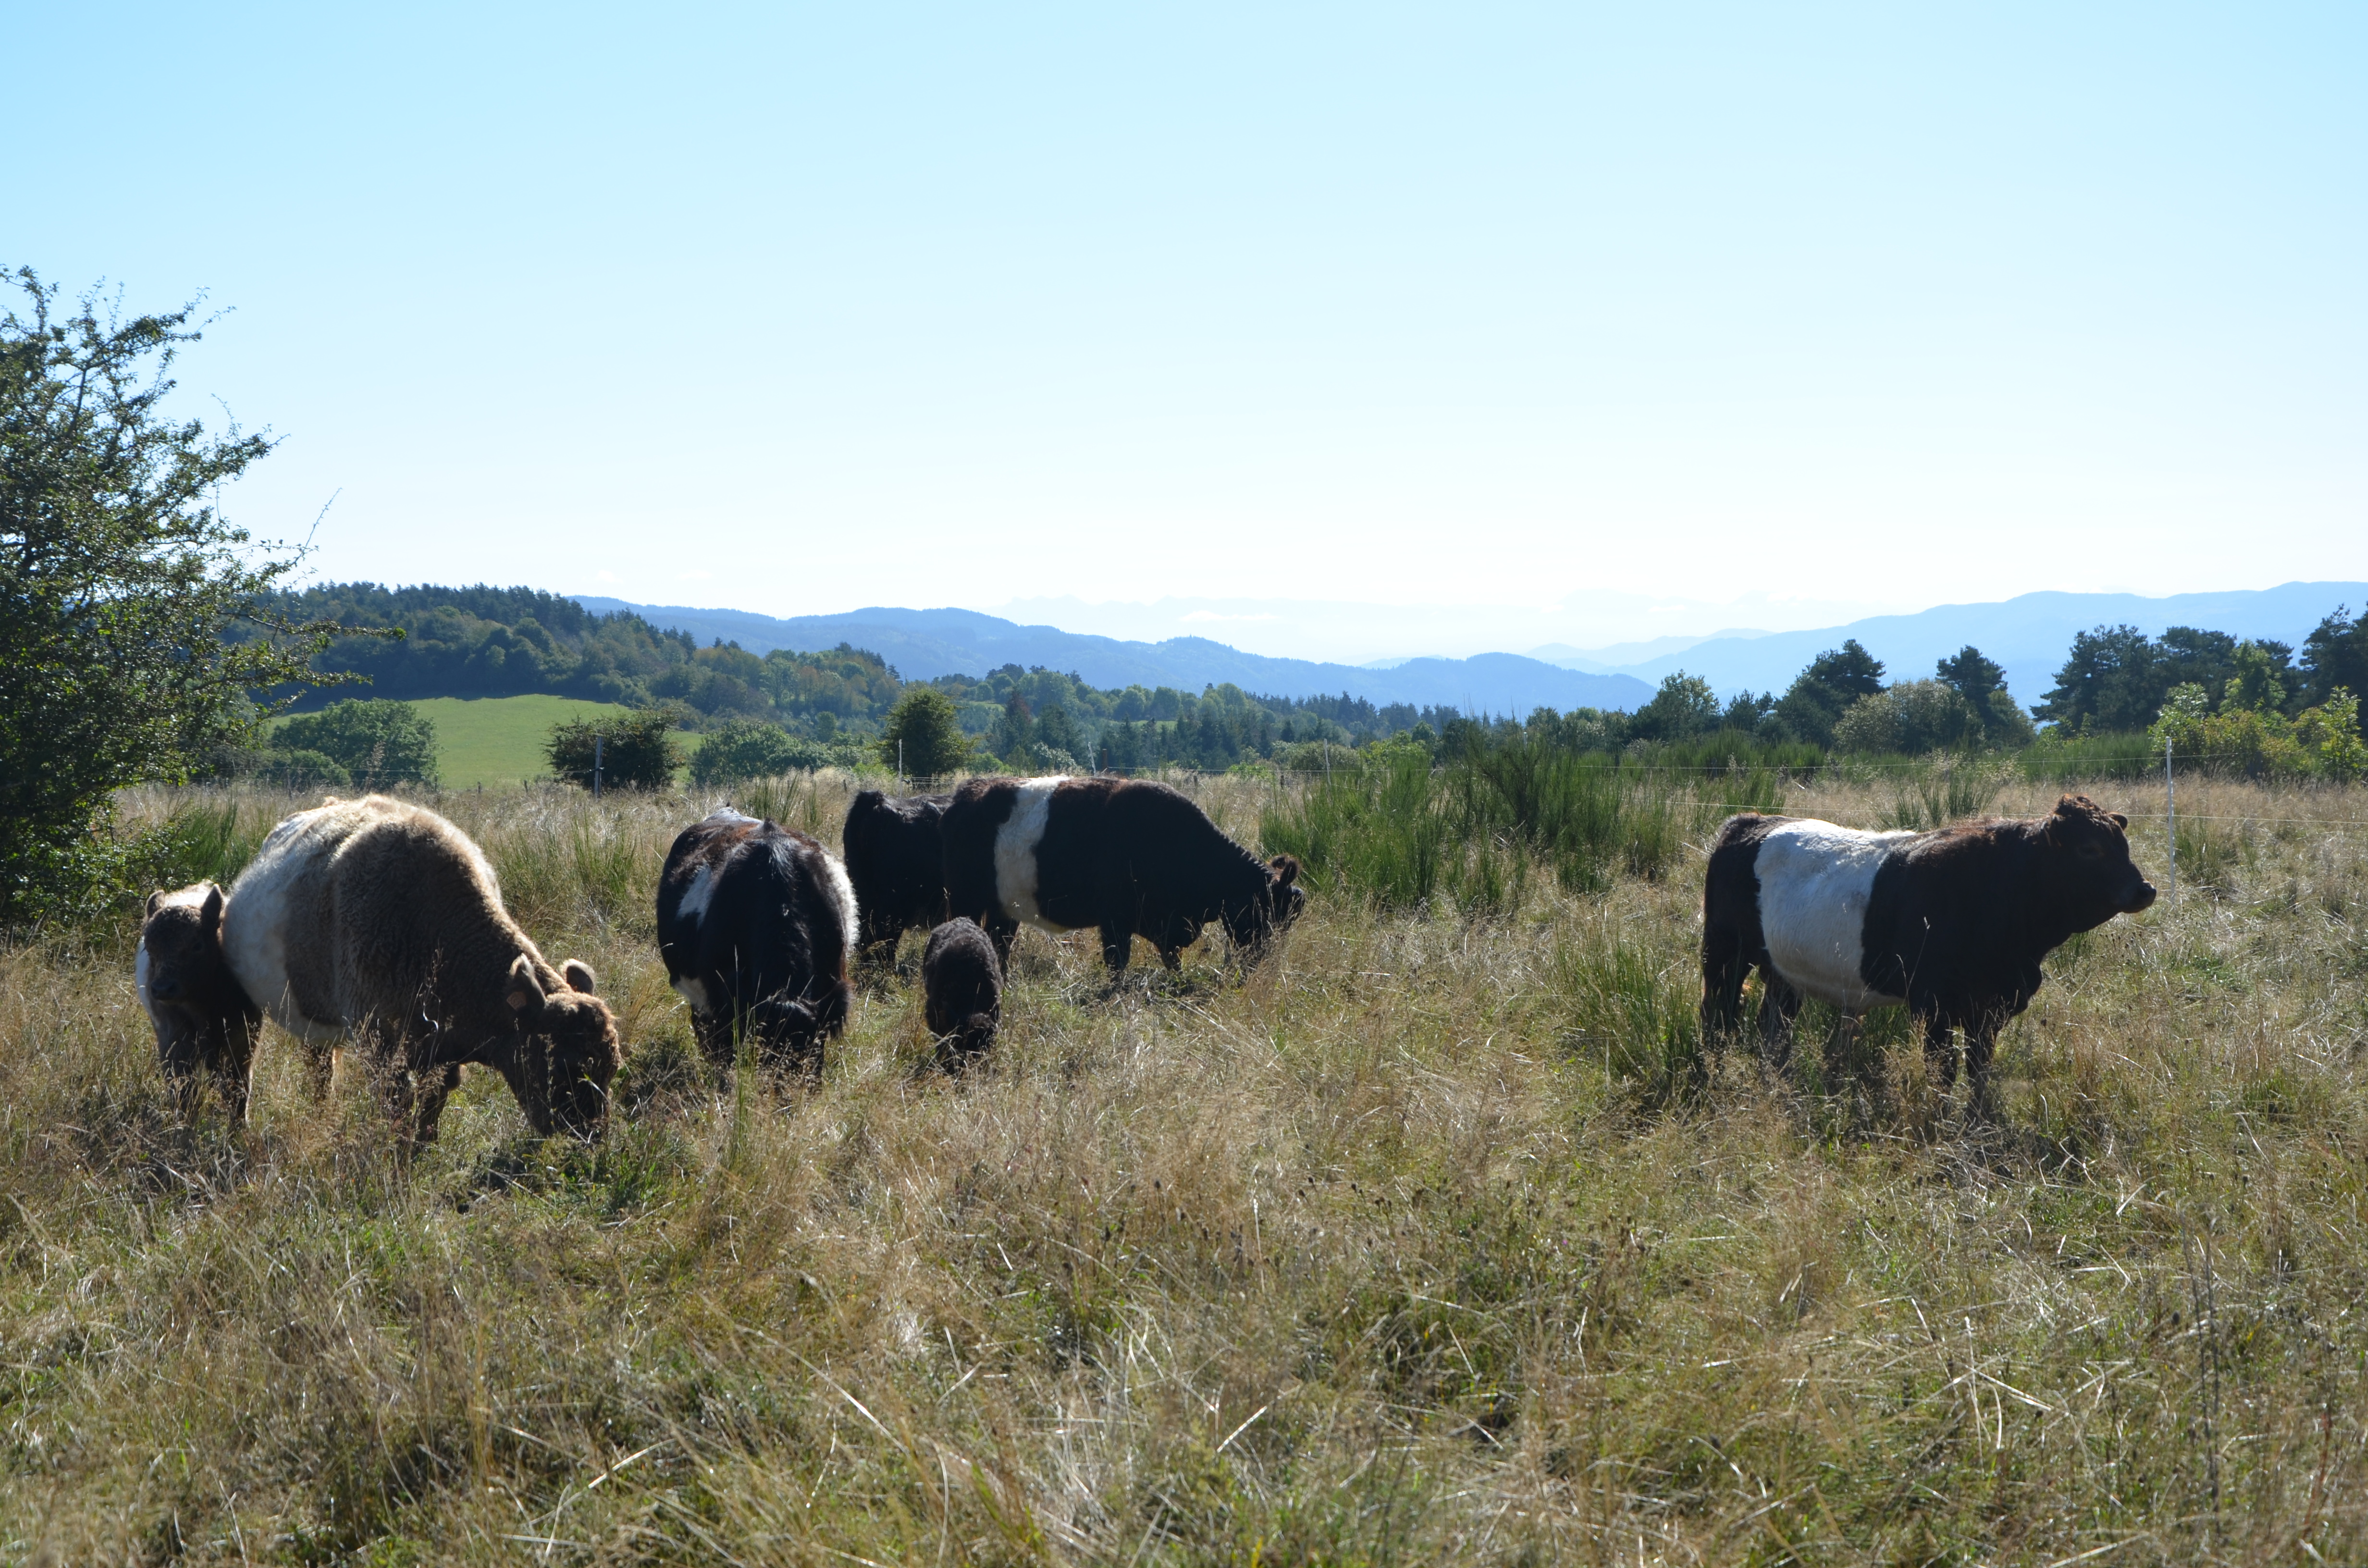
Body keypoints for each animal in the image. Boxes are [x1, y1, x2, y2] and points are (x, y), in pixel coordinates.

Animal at [137, 882, 263, 1120]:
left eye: (197, 945)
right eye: (149, 947)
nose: (162, 989)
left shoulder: (244, 1039)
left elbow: (238, 1088)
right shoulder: (175, 1039)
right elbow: (183, 1087)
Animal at [220, 795, 622, 1145]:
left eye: (613, 1067)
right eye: (567, 1067)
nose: (592, 1136)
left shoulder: (442, 1059)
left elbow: (429, 1116)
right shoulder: (379, 1046)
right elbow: (398, 1115)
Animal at [940, 775, 1306, 973]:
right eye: (1266, 914)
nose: (1258, 964)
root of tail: (964, 796)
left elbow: (1172, 961)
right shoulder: (1115, 921)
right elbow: (1119, 962)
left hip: (1004, 910)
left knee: (999, 945)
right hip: (965, 902)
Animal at [1700, 793, 2157, 1111]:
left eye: (2125, 846)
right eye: (2089, 849)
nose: (2145, 889)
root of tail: (1751, 821)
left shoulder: (1991, 1007)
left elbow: (1979, 1070)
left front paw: (1977, 1120)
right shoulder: (1933, 1004)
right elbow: (1944, 1073)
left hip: (1783, 973)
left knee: (1774, 1028)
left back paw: (1777, 1082)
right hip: (1723, 954)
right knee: (1717, 1017)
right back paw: (1713, 1074)